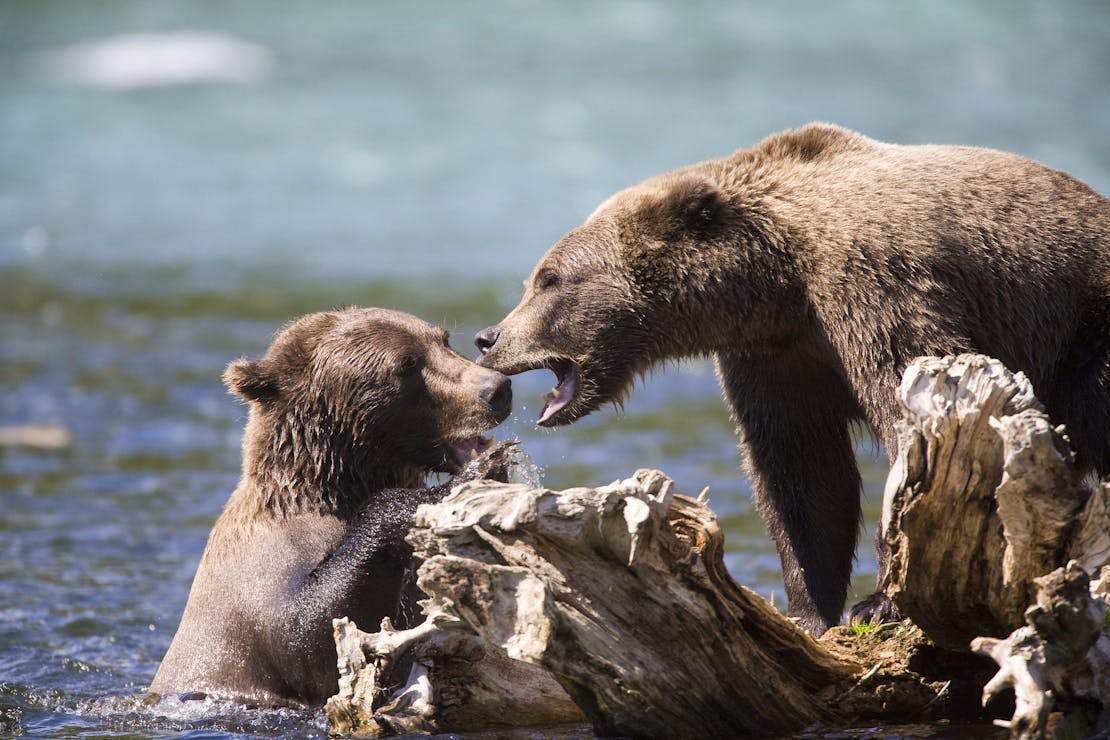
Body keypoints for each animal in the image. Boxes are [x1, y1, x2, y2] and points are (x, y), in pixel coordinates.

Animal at [149, 306, 512, 705]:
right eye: (406, 364)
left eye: (443, 339)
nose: (497, 388)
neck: (332, 487)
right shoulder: (263, 575)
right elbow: (316, 636)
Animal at [475, 123, 1110, 639]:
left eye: (550, 279)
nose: (489, 337)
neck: (778, 283)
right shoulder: (776, 358)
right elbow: (802, 470)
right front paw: (811, 610)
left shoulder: (876, 290)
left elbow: (908, 428)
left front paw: (880, 602)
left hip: (1083, 329)